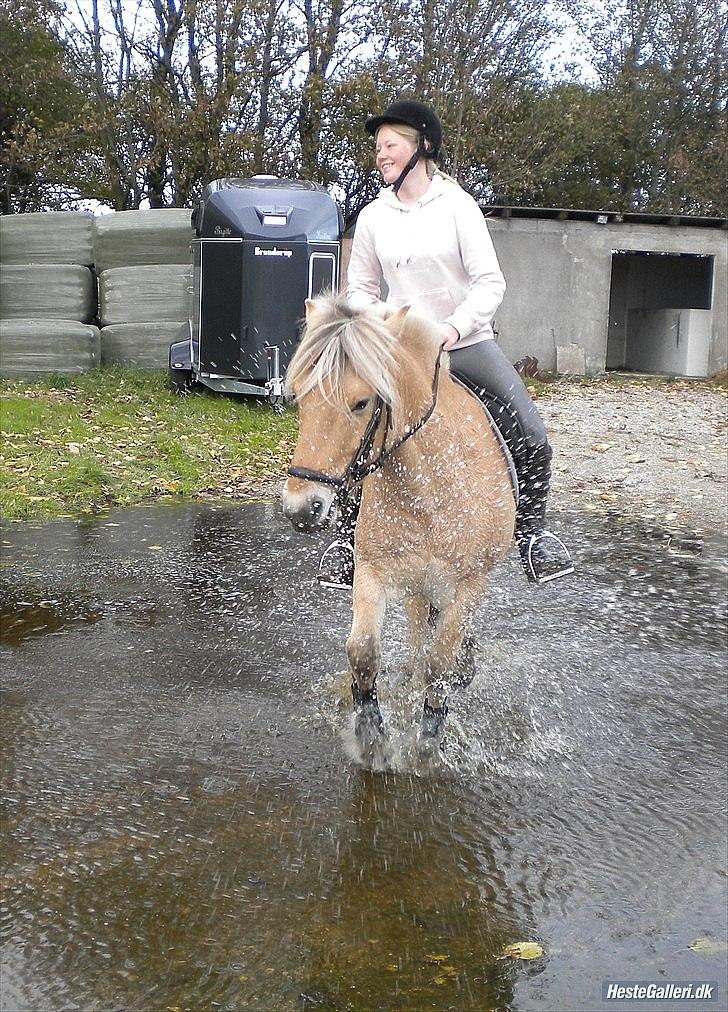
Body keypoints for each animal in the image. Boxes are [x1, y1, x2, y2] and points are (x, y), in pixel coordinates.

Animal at [281, 289, 516, 761]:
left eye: (361, 402)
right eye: (299, 398)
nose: (301, 508)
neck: (428, 486)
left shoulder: (469, 583)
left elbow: (442, 660)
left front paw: (428, 740)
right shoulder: (373, 570)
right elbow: (363, 650)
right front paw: (370, 733)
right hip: (417, 583)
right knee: (417, 632)